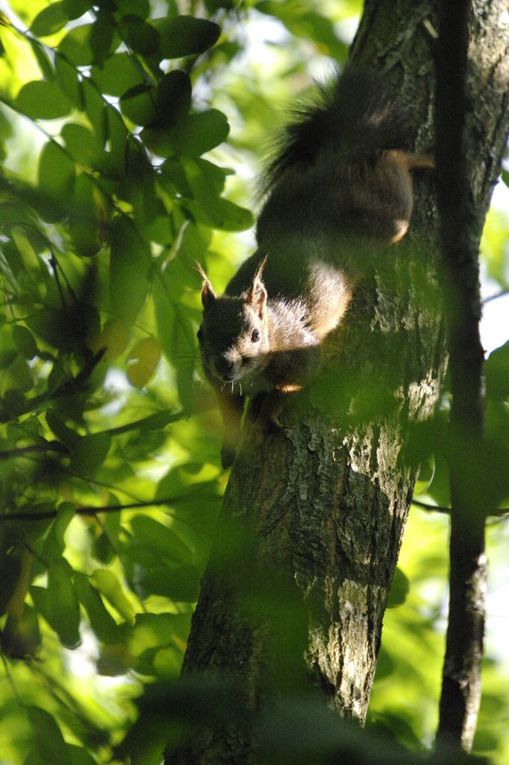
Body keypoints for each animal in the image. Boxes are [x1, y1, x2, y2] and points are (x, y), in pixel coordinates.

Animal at [196, 68, 430, 466]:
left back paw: (424, 161)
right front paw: (230, 444)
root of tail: (341, 159)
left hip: (389, 211)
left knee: (395, 160)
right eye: (201, 334)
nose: (225, 364)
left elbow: (286, 389)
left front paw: (265, 417)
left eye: (256, 335)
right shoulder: (217, 382)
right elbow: (226, 408)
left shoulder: (301, 356)